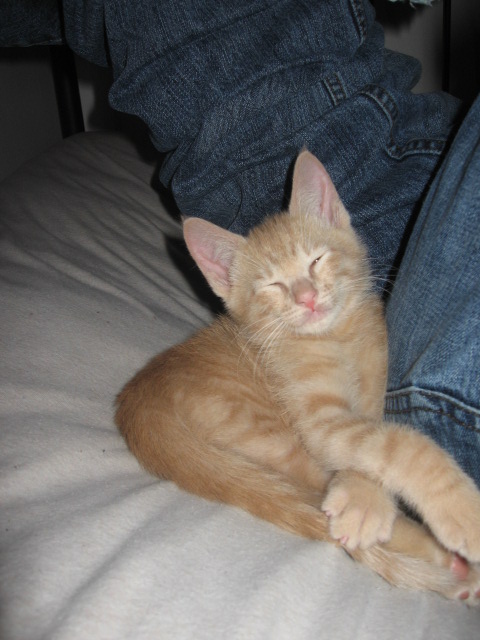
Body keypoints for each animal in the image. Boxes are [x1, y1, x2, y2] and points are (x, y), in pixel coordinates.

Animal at [116, 150, 480, 604]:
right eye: (272, 285)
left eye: (316, 259)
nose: (306, 298)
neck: (338, 338)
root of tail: (138, 404)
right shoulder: (318, 422)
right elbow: (397, 445)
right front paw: (460, 511)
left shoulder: (374, 392)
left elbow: (374, 439)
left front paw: (363, 496)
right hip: (270, 435)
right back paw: (450, 563)